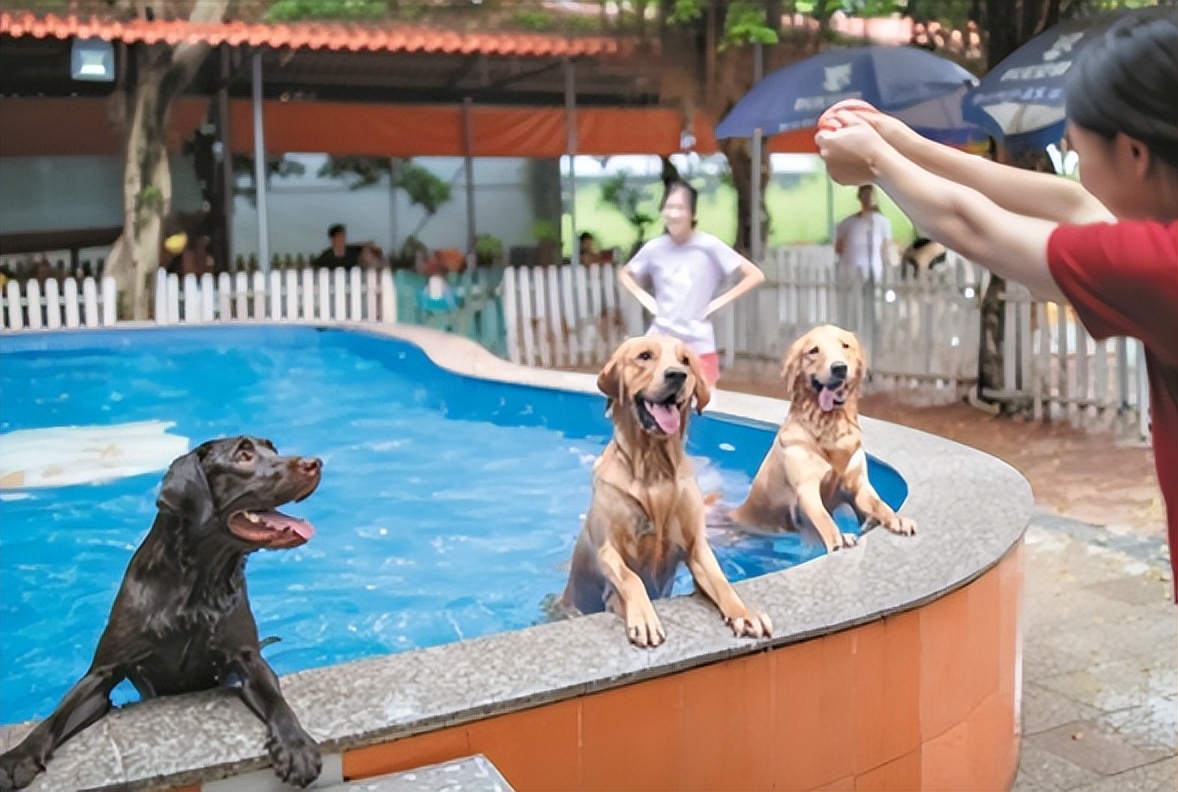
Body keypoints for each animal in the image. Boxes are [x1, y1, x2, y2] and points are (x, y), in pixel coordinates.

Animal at [1, 436, 322, 787]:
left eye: (272, 449)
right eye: (243, 455)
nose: (314, 463)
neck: (198, 584)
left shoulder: (248, 660)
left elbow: (278, 702)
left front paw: (296, 745)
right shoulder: (102, 673)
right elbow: (54, 717)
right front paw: (18, 756)